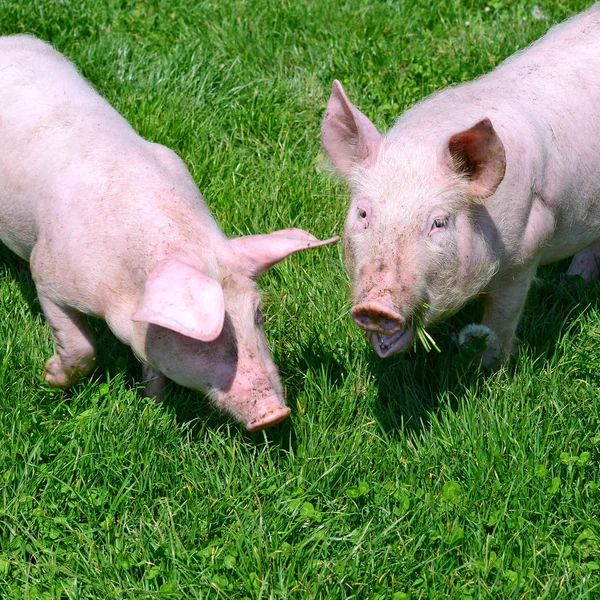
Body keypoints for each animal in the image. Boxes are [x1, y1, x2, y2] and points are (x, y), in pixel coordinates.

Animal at [0, 35, 338, 432]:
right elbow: (82, 346)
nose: (274, 414)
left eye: (258, 314)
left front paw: (153, 404)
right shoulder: (47, 273)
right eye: (199, 335)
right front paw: (49, 376)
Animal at [322, 5, 600, 366]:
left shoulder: (529, 247)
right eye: (364, 213)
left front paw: (490, 370)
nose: (376, 306)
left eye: (438, 222)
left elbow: (502, 318)